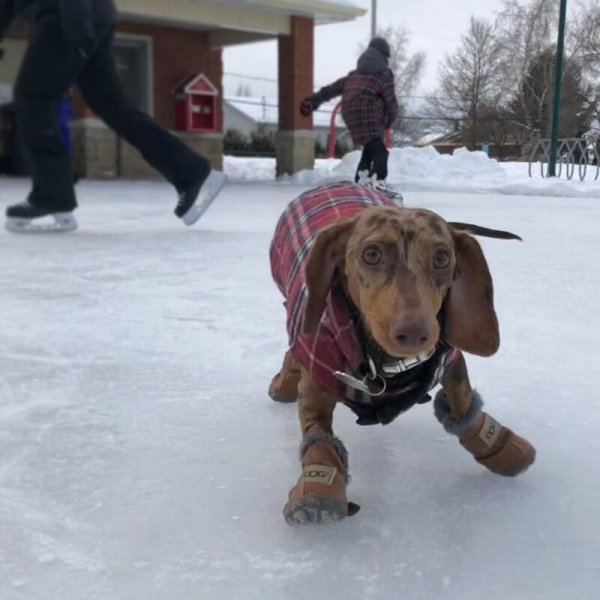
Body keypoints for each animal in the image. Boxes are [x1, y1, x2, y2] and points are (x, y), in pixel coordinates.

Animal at [268, 184, 536, 524]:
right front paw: (317, 491)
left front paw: (500, 447)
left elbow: (462, 401)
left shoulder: (449, 359)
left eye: (442, 257)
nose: (415, 333)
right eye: (371, 254)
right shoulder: (317, 379)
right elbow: (318, 437)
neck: (385, 366)